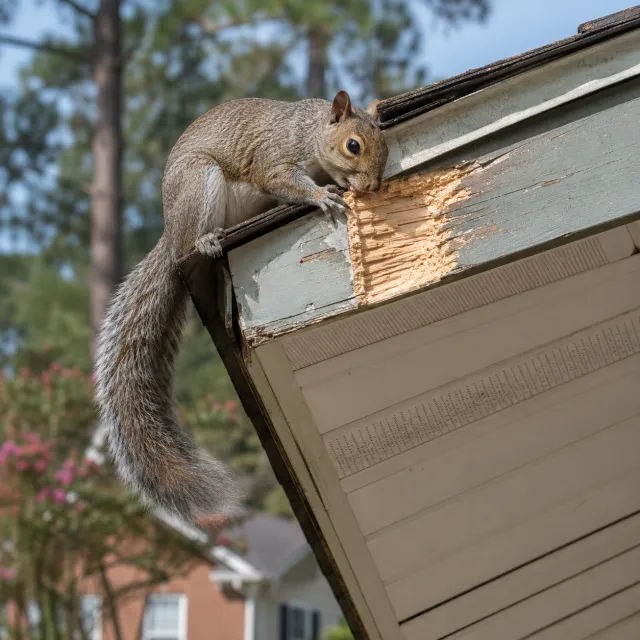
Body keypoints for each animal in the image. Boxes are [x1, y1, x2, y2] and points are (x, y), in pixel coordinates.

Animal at [94, 90, 389, 527]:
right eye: (353, 146)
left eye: (384, 144)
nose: (372, 185)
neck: (311, 132)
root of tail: (170, 233)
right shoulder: (275, 156)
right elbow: (277, 178)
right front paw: (322, 196)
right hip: (200, 183)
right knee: (192, 239)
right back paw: (205, 241)